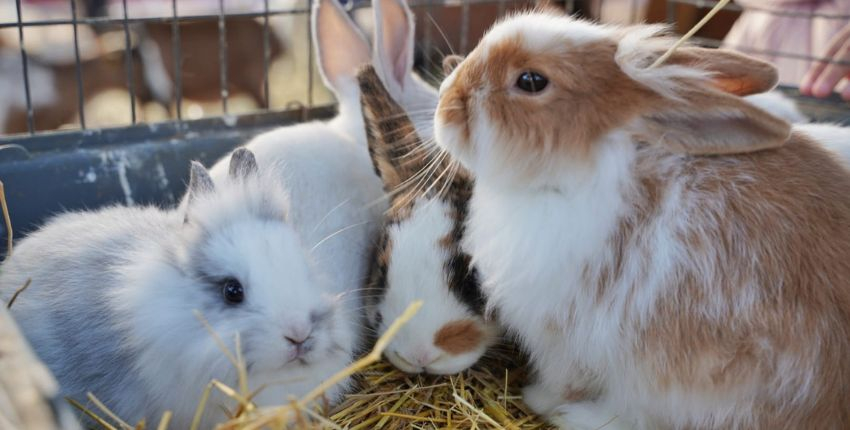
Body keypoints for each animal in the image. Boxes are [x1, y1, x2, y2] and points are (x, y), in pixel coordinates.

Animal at [434, 10, 848, 430]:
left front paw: (540, 399)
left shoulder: (561, 334)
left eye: (531, 81)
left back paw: (575, 415)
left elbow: (562, 379)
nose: (445, 102)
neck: (595, 166)